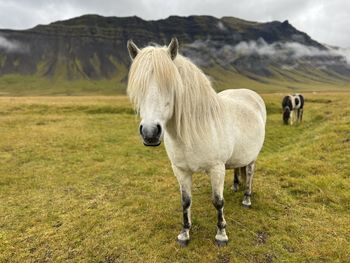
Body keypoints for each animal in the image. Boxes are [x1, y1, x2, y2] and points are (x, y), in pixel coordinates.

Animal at [126, 37, 266, 248]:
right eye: (139, 88)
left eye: (171, 87)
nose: (150, 133)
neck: (194, 130)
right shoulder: (181, 171)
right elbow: (185, 201)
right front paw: (184, 233)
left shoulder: (216, 169)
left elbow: (218, 201)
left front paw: (221, 234)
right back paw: (235, 187)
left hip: (252, 157)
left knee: (249, 173)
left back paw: (246, 199)